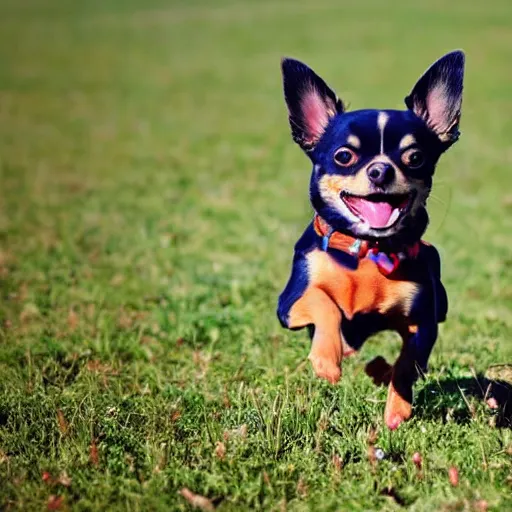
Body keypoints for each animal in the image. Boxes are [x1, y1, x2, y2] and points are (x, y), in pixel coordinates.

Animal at [276, 51, 464, 428]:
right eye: (343, 156)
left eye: (415, 157)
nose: (380, 170)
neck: (367, 251)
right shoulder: (289, 305)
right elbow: (324, 303)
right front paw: (326, 361)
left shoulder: (423, 324)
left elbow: (408, 365)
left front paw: (397, 410)